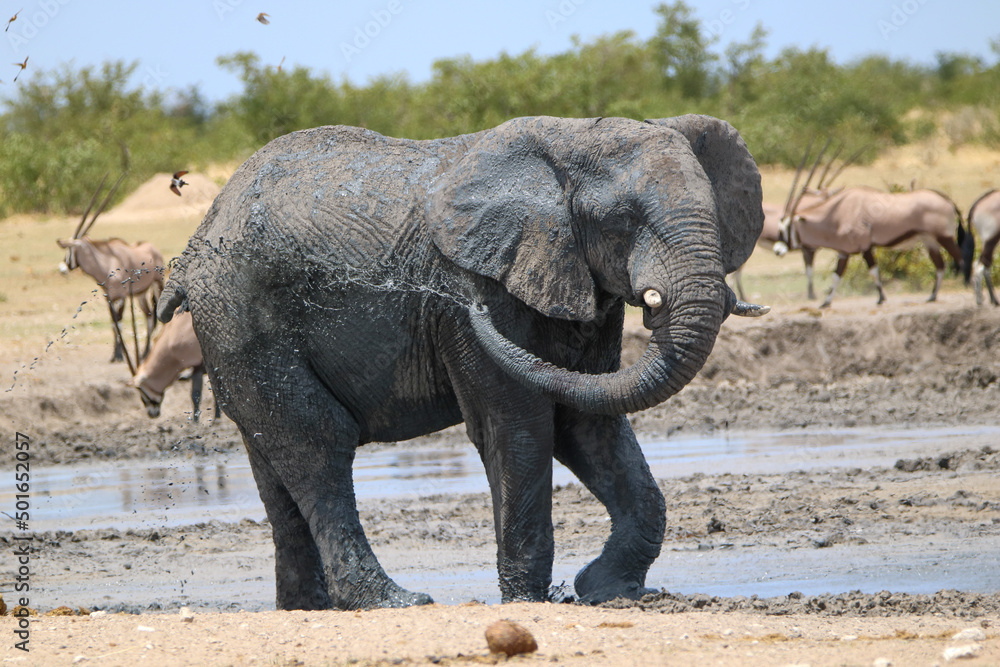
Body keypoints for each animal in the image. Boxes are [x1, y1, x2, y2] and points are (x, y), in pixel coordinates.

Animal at [157, 114, 766, 610]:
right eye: (621, 219)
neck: (571, 138)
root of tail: (194, 246)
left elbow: (588, 420)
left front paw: (607, 590)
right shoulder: (468, 288)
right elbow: (516, 426)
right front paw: (531, 602)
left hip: (234, 330)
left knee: (274, 461)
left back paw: (306, 609)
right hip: (242, 316)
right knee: (318, 444)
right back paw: (395, 602)